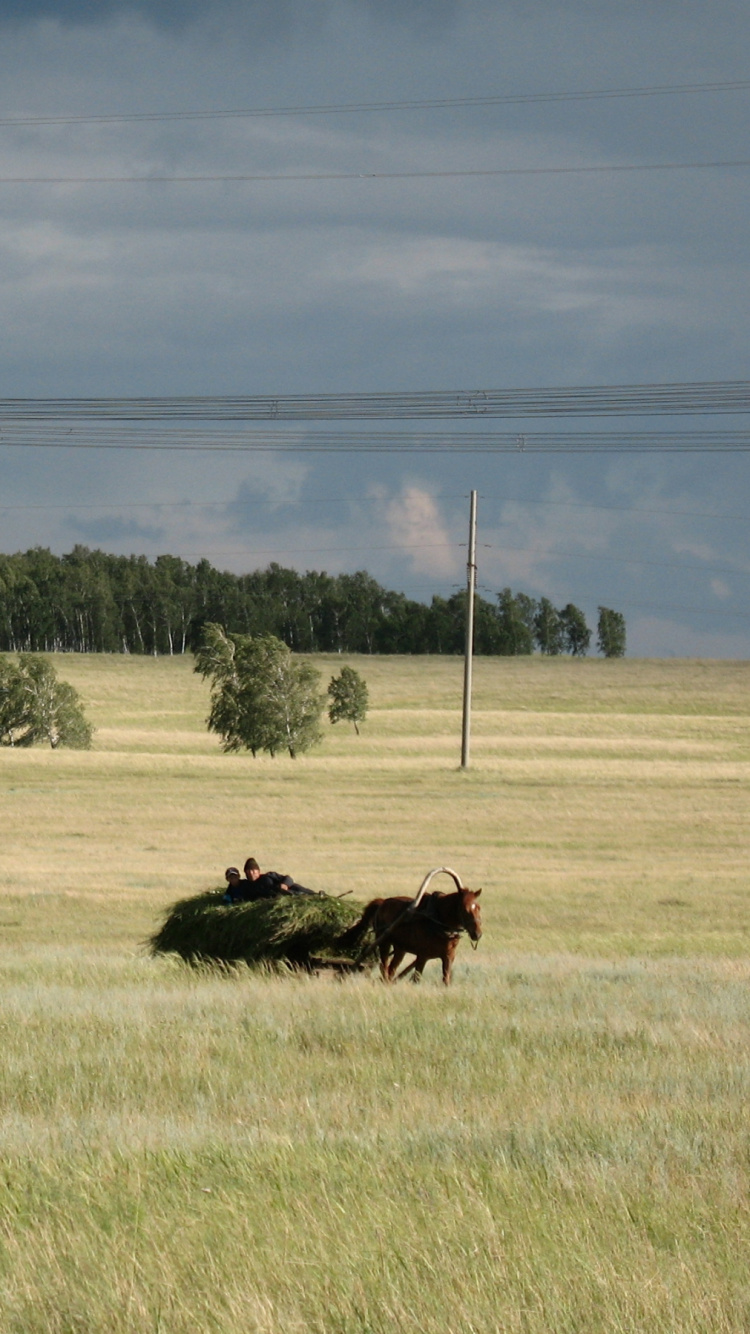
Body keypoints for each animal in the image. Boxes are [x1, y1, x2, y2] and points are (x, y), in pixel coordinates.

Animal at [333, 869, 477, 987]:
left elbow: (445, 979)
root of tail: (382, 902)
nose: (477, 933)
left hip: (400, 949)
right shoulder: (422, 955)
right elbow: (416, 978)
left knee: (391, 969)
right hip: (384, 942)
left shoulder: (449, 955)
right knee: (384, 967)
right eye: (465, 910)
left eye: (478, 908)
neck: (437, 921)